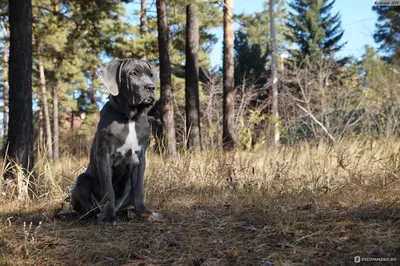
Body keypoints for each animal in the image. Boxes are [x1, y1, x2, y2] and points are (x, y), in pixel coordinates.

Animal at [70, 58, 158, 222]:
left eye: (150, 75)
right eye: (133, 73)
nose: (151, 87)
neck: (129, 118)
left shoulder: (140, 158)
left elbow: (139, 188)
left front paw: (145, 211)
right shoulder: (104, 157)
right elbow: (108, 190)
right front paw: (109, 217)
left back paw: (127, 212)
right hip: (82, 180)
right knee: (86, 207)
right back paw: (95, 215)